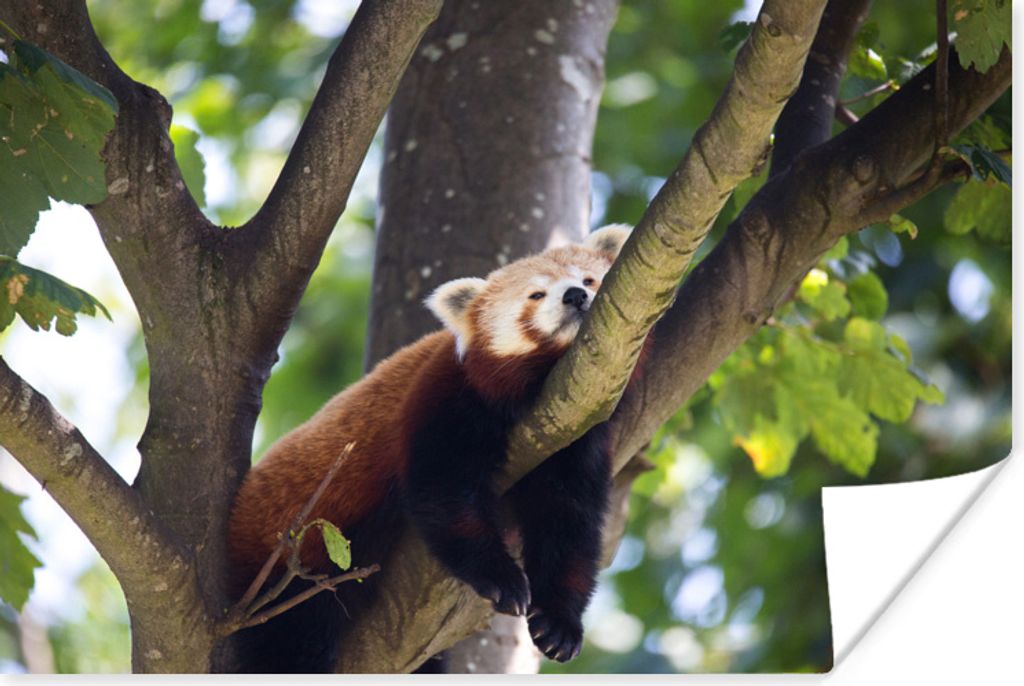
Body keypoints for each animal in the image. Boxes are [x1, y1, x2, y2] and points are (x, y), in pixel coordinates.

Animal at [227, 224, 638, 673]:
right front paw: (502, 578)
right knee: (288, 639)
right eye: (536, 295)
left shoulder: (578, 433)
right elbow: (442, 490)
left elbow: (568, 521)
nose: (575, 296)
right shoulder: (447, 393)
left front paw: (559, 622)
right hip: (286, 570)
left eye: (589, 279)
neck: (543, 386)